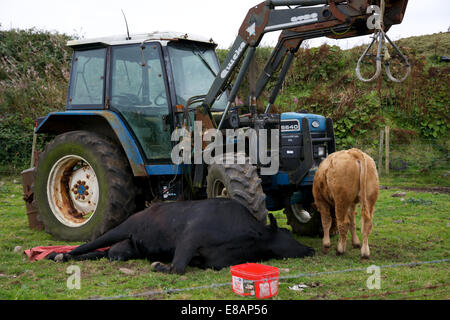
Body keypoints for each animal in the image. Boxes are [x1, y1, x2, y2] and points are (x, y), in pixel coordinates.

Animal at [47, 199, 314, 274]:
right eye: (286, 232)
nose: (311, 249)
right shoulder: (189, 239)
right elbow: (177, 268)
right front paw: (159, 266)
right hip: (121, 229)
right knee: (85, 246)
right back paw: (58, 255)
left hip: (127, 249)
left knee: (100, 254)